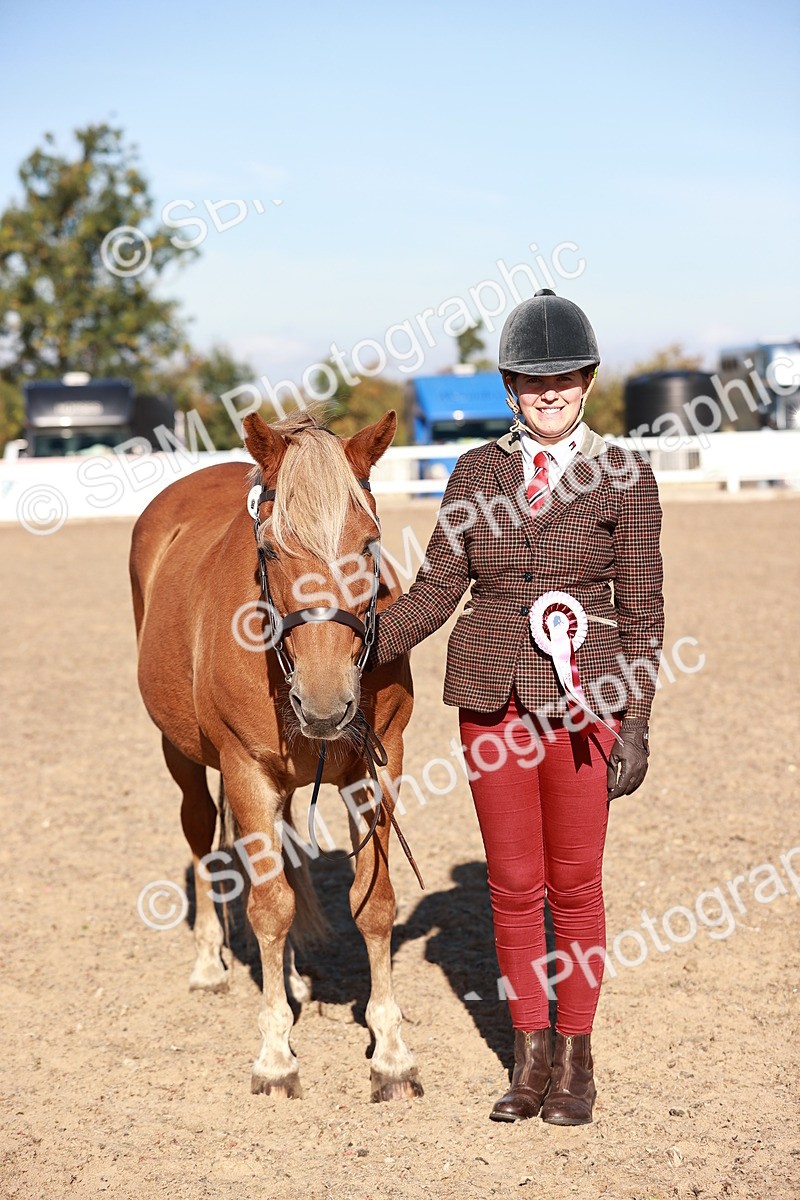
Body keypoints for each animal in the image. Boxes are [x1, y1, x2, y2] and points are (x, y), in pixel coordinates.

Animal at [129, 407, 422, 1101]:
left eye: (369, 545)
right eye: (268, 551)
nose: (325, 702)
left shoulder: (378, 769)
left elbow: (374, 904)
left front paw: (391, 1053)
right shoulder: (247, 774)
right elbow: (268, 907)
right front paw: (274, 1056)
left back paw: (287, 980)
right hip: (182, 757)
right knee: (202, 839)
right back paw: (210, 965)